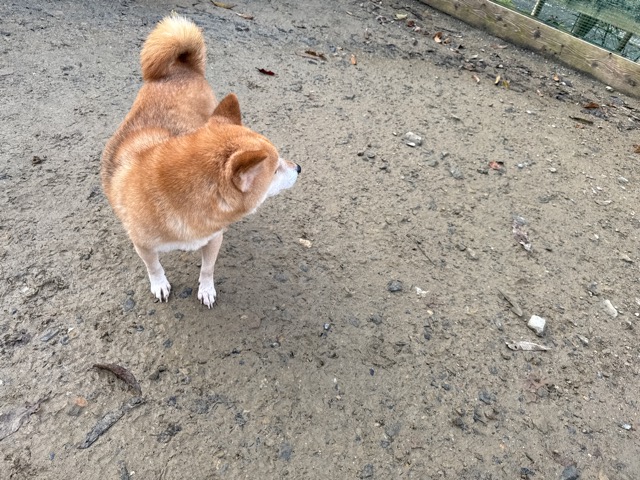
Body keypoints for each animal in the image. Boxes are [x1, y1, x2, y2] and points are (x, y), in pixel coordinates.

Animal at [101, 14, 300, 307]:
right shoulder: (144, 246)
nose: (299, 168)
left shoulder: (214, 237)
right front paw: (159, 284)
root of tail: (183, 68)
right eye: (275, 169)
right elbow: (154, 267)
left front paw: (206, 289)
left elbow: (207, 269)